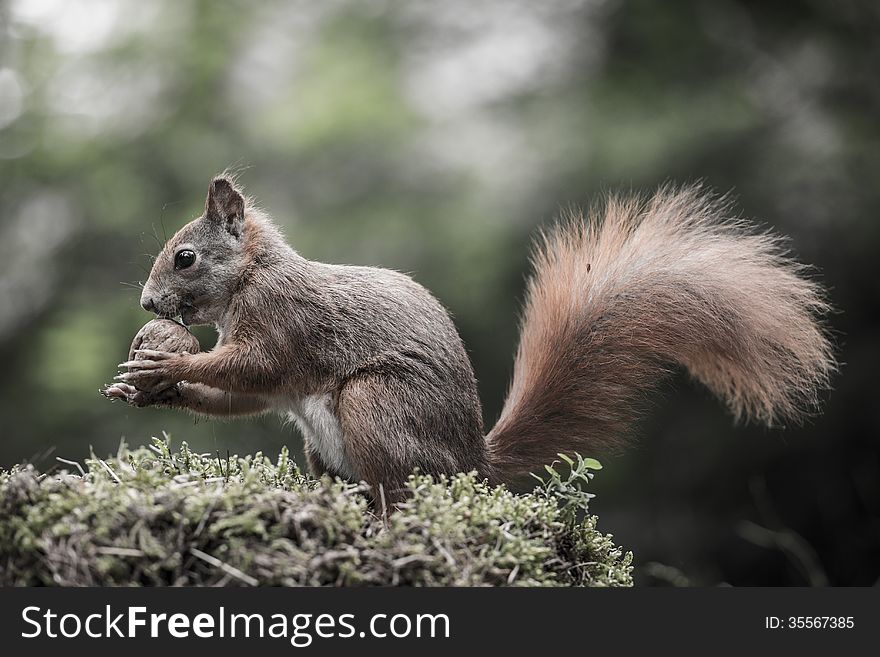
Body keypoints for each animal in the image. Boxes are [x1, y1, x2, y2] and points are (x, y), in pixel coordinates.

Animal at [101, 174, 832, 502]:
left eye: (186, 258)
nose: (146, 303)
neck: (252, 275)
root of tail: (472, 463)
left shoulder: (283, 323)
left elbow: (251, 367)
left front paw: (163, 367)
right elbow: (247, 397)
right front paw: (151, 386)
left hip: (375, 406)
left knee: (401, 491)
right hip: (324, 447)